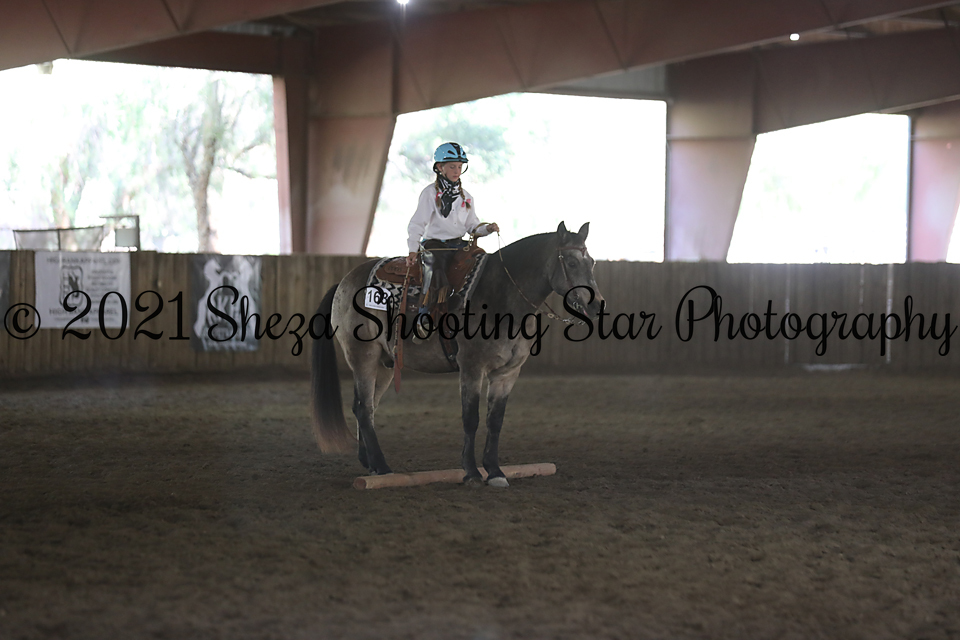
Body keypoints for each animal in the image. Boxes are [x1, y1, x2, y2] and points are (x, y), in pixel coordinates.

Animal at [310, 222, 604, 487]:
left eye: (591, 262)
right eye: (571, 262)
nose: (596, 304)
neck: (503, 295)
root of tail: (344, 282)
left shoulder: (507, 373)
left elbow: (495, 421)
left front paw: (495, 471)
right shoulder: (472, 368)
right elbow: (471, 418)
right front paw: (471, 472)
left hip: (385, 364)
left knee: (367, 407)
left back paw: (370, 463)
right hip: (363, 356)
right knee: (363, 407)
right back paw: (382, 466)